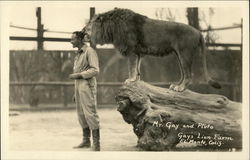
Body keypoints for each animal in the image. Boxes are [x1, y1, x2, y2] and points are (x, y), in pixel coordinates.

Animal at [82, 8, 221, 92]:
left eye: (89, 25)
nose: (82, 31)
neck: (112, 27)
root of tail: (198, 32)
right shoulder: (138, 53)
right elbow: (137, 68)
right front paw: (136, 80)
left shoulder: (132, 50)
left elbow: (131, 67)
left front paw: (130, 80)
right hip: (179, 54)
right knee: (183, 73)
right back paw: (175, 85)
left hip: (184, 53)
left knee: (188, 75)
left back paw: (180, 88)